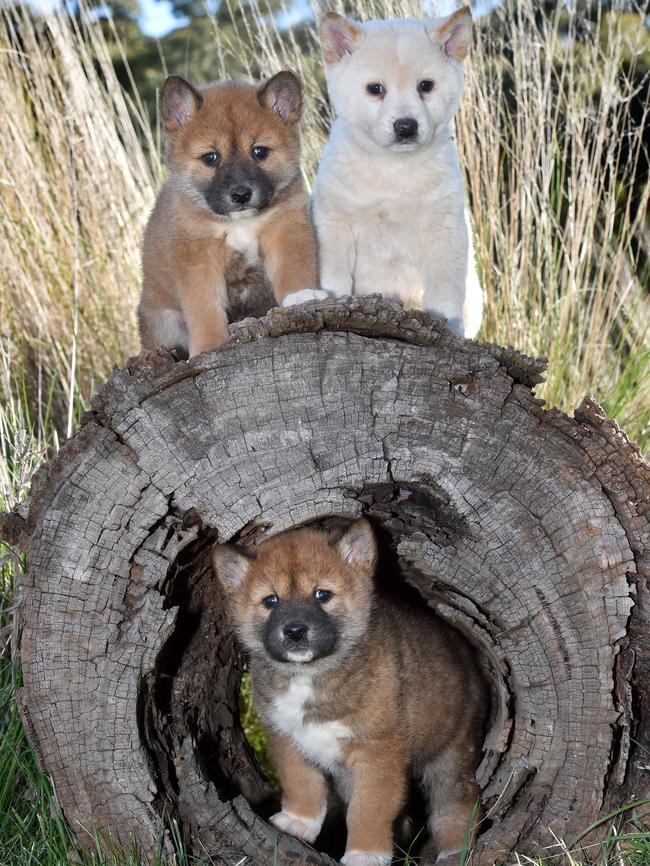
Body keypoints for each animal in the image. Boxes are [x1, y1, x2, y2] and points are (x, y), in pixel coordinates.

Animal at [138, 72, 322, 356]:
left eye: (260, 151)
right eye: (210, 157)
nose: (241, 194)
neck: (239, 224)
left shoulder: (286, 228)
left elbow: (294, 267)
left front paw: (300, 295)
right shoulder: (198, 256)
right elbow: (204, 309)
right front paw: (208, 346)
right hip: (163, 322)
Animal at [213, 520, 486, 864]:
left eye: (322, 594)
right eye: (270, 601)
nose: (294, 630)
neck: (310, 676)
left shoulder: (377, 752)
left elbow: (368, 810)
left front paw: (365, 854)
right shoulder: (286, 739)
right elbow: (302, 784)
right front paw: (298, 822)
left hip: (451, 755)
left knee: (456, 806)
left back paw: (454, 851)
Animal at [312, 6, 484, 338]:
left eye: (425, 85)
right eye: (375, 89)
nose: (406, 126)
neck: (393, 170)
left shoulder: (443, 229)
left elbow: (443, 291)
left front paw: (448, 326)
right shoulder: (335, 224)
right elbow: (334, 279)